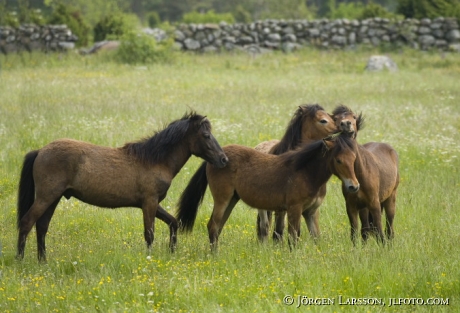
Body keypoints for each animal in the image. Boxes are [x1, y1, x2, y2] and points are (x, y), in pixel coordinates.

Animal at [17, 111, 229, 260]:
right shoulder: (149, 203)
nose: (224, 159)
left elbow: (173, 222)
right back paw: (20, 260)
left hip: (53, 198)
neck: (154, 160)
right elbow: (149, 234)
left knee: (41, 226)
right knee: (27, 222)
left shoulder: (152, 203)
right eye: (206, 135)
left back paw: (43, 261)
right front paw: (149, 258)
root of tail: (40, 151)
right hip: (47, 197)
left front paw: (172, 252)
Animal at [178, 133, 362, 250]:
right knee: (213, 226)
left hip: (231, 200)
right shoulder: (294, 209)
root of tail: (217, 159)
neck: (306, 172)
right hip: (222, 199)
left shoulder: (311, 212)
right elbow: (293, 238)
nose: (354, 186)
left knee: (217, 227)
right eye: (338, 160)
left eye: (353, 159)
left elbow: (316, 238)